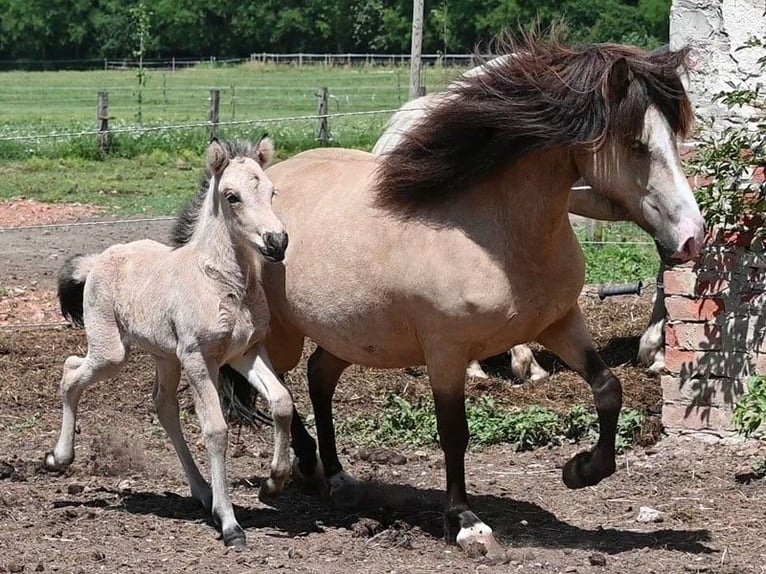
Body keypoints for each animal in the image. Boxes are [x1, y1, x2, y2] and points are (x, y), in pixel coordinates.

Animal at [45, 138, 292, 548]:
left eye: (272, 192)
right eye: (232, 196)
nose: (276, 242)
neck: (222, 283)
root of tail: (97, 260)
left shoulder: (245, 352)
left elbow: (282, 402)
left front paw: (274, 482)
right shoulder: (198, 359)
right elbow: (216, 430)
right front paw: (231, 525)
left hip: (165, 357)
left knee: (163, 406)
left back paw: (203, 492)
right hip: (113, 351)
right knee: (69, 372)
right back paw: (58, 458)